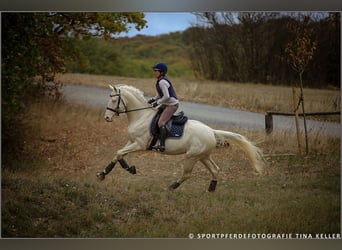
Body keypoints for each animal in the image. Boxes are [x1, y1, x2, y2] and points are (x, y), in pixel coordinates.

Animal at [97, 84, 266, 191]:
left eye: (114, 99)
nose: (107, 118)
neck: (141, 116)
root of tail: (211, 131)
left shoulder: (139, 144)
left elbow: (119, 153)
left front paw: (126, 169)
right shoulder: (131, 141)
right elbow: (118, 154)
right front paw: (107, 173)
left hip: (192, 157)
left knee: (187, 174)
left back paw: (172, 187)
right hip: (203, 156)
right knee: (215, 169)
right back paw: (211, 189)